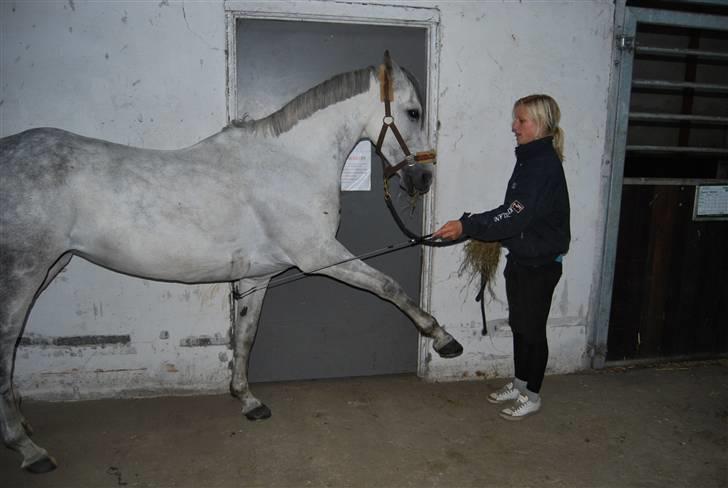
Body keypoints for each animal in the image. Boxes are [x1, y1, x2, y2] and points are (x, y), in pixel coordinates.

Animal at [0, 51, 463, 473]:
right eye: (413, 111)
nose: (423, 179)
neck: (290, 163)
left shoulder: (259, 276)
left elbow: (245, 335)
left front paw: (248, 400)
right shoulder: (318, 255)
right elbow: (388, 286)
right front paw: (443, 338)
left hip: (50, 267)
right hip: (24, 272)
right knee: (7, 342)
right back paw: (28, 449)